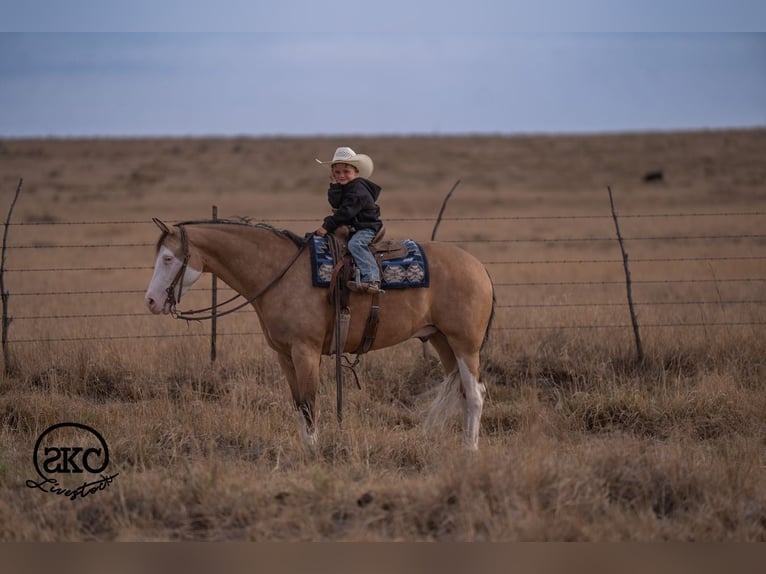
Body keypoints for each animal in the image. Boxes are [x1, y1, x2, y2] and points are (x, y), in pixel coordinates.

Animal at [144, 219, 495, 450]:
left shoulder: (306, 351)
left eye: (168, 258)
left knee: (475, 393)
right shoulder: (284, 354)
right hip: (441, 340)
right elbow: (299, 403)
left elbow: (311, 402)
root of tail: (479, 267)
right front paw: (305, 449)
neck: (278, 273)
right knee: (462, 391)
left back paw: (470, 451)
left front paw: (314, 452)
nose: (151, 301)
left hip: (465, 344)